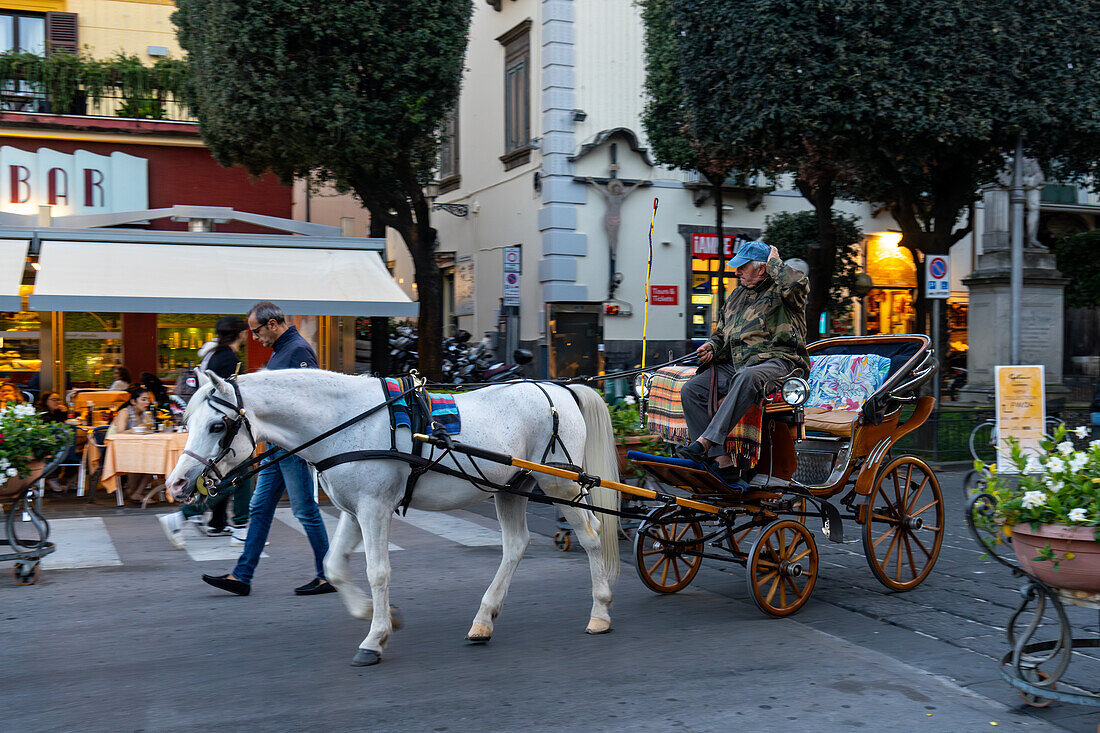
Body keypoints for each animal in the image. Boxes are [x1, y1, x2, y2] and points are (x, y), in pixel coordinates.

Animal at [167, 367, 624, 664]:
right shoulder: (353, 511)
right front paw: (376, 614)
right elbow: (333, 567)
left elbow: (377, 571)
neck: (342, 423)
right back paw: (483, 620)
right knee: (515, 546)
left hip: (561, 486)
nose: (177, 483)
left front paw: (374, 637)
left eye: (216, 426)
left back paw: (601, 612)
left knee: (591, 536)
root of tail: (561, 389)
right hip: (512, 487)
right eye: (187, 420)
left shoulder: (374, 508)